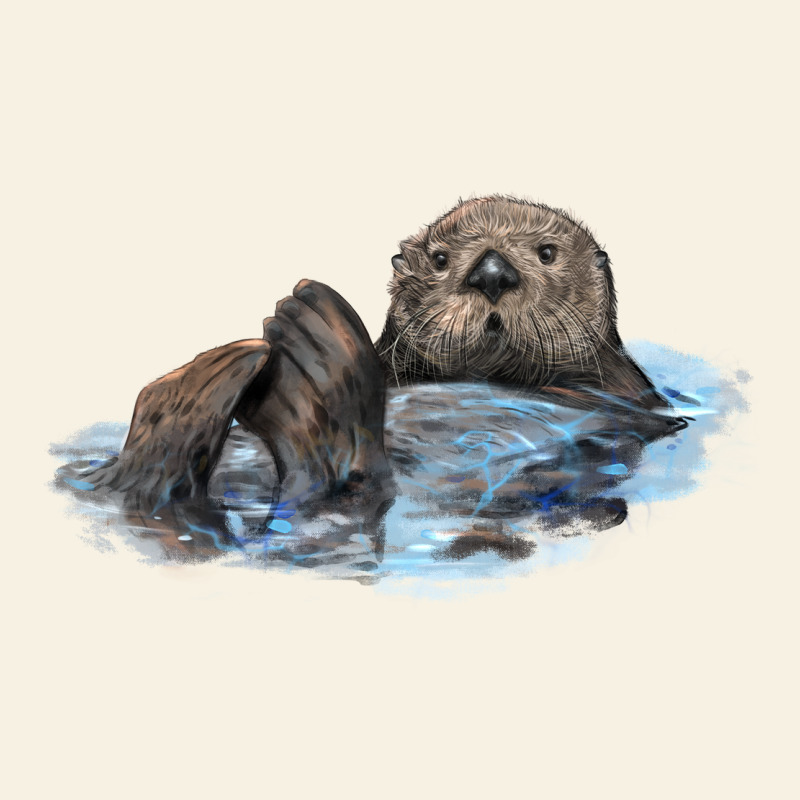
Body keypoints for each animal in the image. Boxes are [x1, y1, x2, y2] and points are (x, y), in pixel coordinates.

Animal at [81, 196, 672, 509]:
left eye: (547, 253)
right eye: (440, 259)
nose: (492, 274)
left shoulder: (621, 391)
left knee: (341, 476)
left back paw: (304, 349)